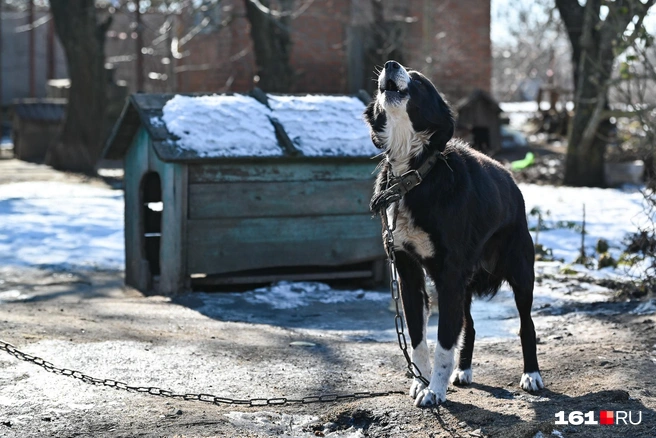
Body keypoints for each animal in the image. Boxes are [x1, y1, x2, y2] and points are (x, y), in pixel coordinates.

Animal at [364, 61, 544, 408]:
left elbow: (445, 340)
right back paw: (464, 370)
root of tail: (512, 181)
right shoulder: (408, 274)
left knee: (526, 325)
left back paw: (532, 375)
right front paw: (422, 382)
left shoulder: (449, 275)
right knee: (470, 328)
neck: (415, 174)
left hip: (520, 273)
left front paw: (435, 390)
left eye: (420, 81)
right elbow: (418, 337)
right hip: (467, 284)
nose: (390, 64)